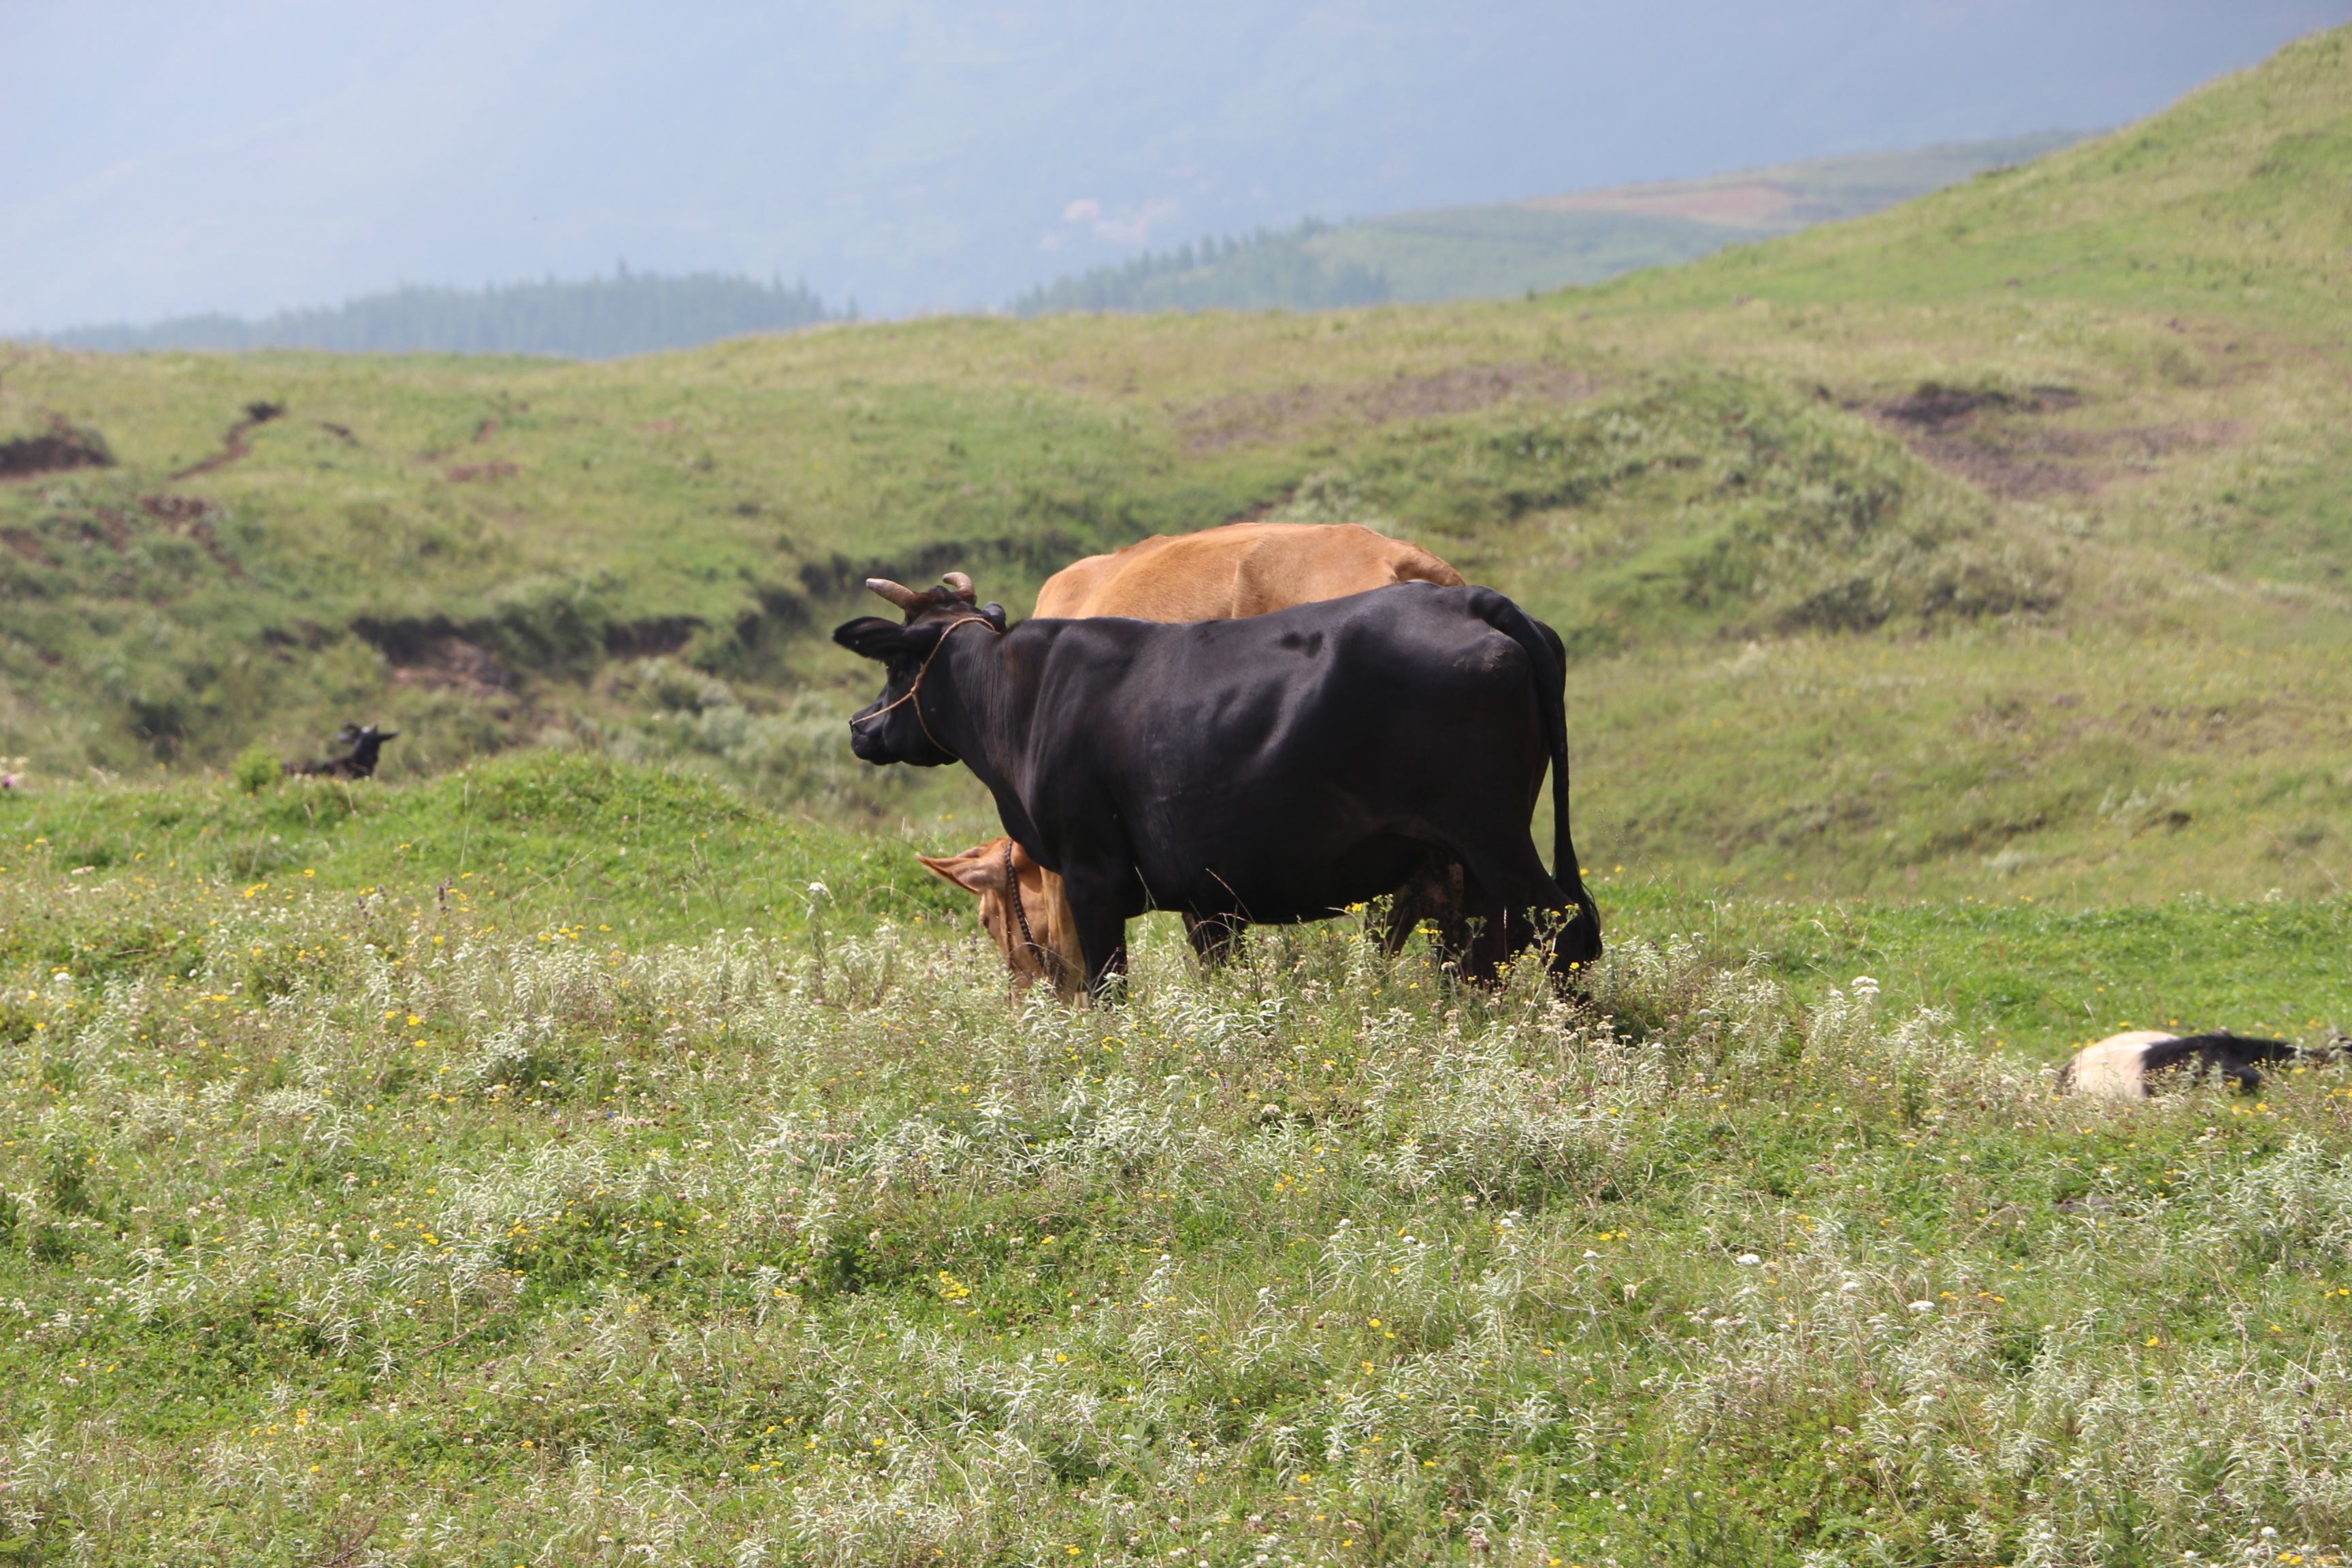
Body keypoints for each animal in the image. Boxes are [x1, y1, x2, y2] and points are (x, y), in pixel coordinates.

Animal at [837, 573, 1608, 992]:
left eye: (897, 667)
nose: (859, 727)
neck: (1019, 699)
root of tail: (1476, 601)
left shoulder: (1092, 869)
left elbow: (1108, 985)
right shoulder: (1206, 892)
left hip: (1491, 834)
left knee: (1561, 926)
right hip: (1470, 850)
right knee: (1498, 937)